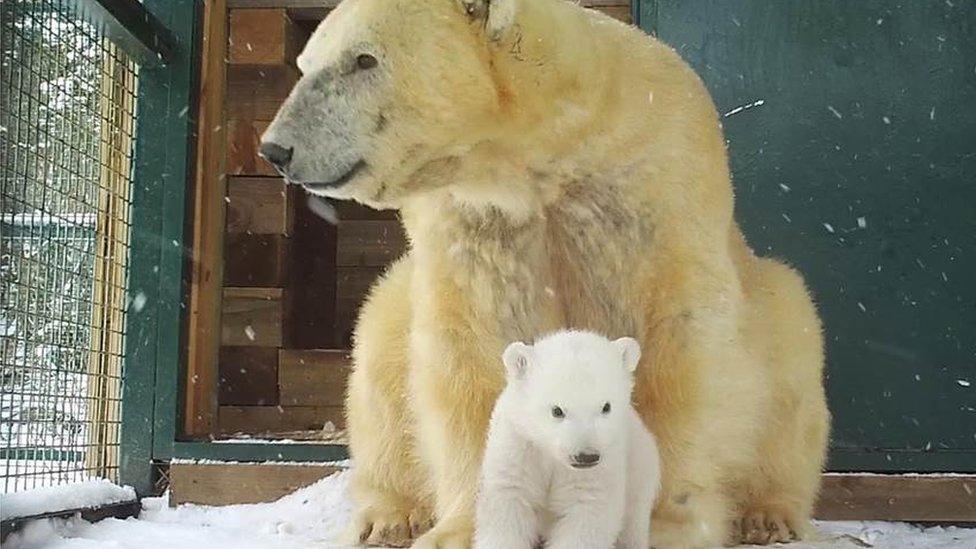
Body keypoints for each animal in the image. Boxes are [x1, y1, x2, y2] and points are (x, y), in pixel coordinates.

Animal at [474, 330, 660, 548]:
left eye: (606, 407)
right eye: (557, 410)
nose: (586, 456)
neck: (551, 453)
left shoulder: (600, 467)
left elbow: (586, 511)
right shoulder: (518, 445)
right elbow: (507, 503)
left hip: (641, 467)